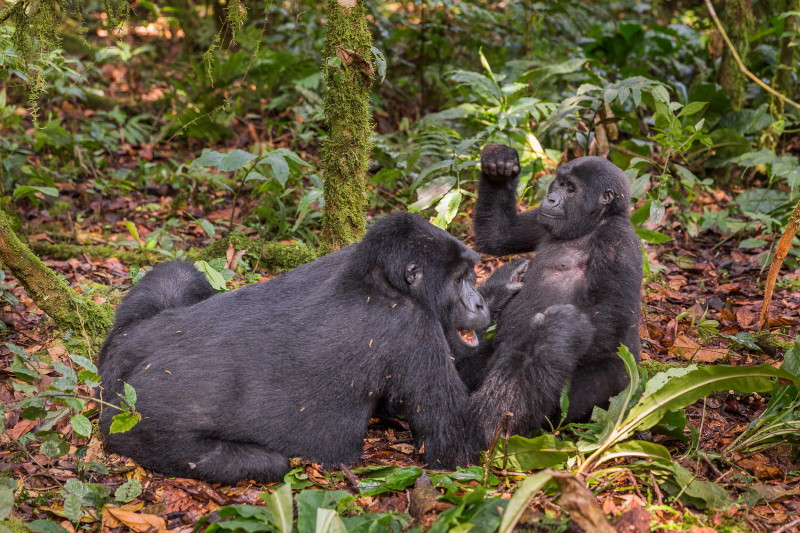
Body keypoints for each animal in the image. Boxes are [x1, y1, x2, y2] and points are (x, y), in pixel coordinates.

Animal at [98, 212, 580, 482]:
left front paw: (506, 287)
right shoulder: (410, 326)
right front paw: (553, 334)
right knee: (264, 464)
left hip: (126, 338)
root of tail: (114, 381)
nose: (477, 302)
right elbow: (461, 442)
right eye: (460, 279)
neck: (376, 278)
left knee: (176, 274)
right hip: (135, 423)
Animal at [472, 144, 640, 428]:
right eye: (559, 183)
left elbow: (611, 312)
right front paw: (499, 163)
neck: (593, 224)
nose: (551, 199)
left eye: (571, 189)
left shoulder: (619, 243)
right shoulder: (542, 219)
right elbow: (499, 235)